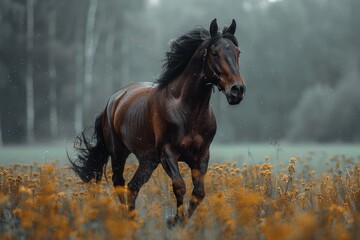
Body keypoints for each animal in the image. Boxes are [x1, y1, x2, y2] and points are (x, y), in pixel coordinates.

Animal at [69, 18, 246, 227]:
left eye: (237, 52)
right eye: (215, 53)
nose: (237, 90)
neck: (188, 109)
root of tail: (114, 100)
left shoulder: (202, 155)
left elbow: (199, 193)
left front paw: (181, 222)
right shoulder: (167, 154)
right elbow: (180, 186)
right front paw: (173, 220)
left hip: (148, 161)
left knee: (133, 186)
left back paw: (134, 220)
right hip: (119, 152)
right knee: (119, 182)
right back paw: (125, 222)